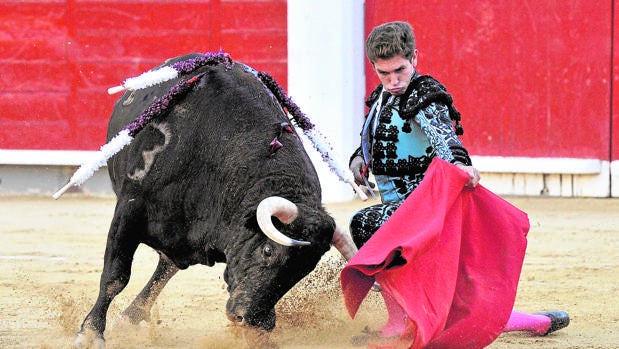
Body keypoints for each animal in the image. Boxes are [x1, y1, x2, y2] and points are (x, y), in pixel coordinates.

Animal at [74, 53, 358, 346]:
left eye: (305, 269)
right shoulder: (129, 211)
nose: (251, 317)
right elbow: (115, 277)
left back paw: (132, 317)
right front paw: (90, 334)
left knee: (165, 267)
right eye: (268, 251)